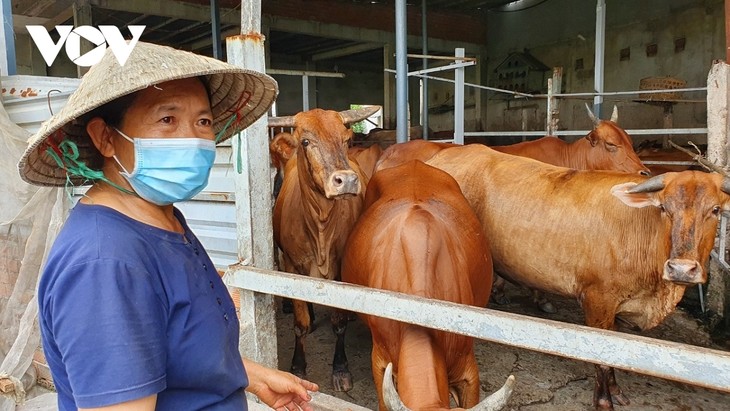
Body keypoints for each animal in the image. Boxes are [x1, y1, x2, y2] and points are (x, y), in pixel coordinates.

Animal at [268, 104, 382, 392]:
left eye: (347, 140)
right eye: (306, 142)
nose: (346, 181)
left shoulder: (340, 268)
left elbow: (338, 322)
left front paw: (340, 368)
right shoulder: (291, 265)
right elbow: (300, 324)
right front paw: (298, 366)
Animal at [420, 143, 728, 410]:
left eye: (715, 210)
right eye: (664, 208)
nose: (681, 268)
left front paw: (615, 390)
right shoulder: (597, 300)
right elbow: (601, 356)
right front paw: (604, 401)